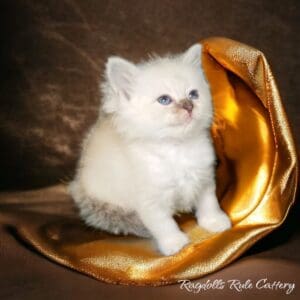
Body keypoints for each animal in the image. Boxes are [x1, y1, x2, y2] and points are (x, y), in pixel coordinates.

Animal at [68, 44, 232, 255]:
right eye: (164, 100)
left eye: (193, 94)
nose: (188, 106)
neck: (177, 147)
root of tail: (79, 185)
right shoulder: (151, 202)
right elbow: (164, 225)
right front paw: (175, 244)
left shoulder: (204, 179)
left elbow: (209, 203)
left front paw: (215, 222)